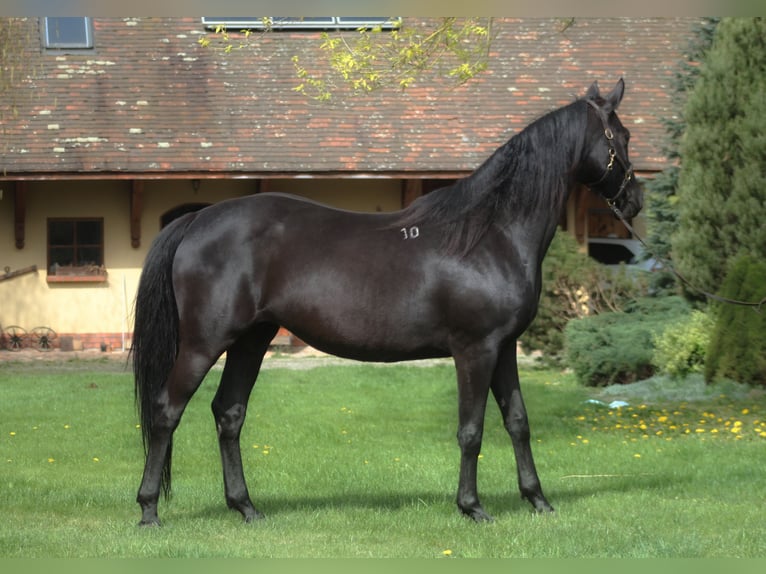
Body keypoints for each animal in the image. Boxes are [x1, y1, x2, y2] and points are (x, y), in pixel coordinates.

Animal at [132, 79, 642, 526]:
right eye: (622, 136)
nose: (634, 200)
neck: (489, 234)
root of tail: (198, 220)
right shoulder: (475, 349)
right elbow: (471, 430)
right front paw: (473, 508)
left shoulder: (505, 348)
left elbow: (517, 421)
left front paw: (538, 501)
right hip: (204, 343)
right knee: (166, 411)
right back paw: (149, 510)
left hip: (251, 340)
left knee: (229, 413)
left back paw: (246, 508)